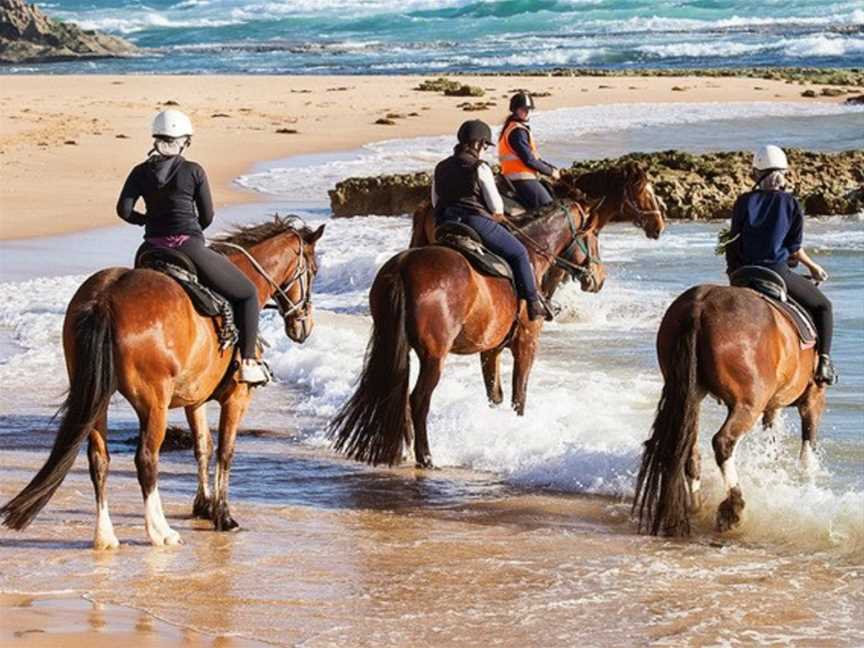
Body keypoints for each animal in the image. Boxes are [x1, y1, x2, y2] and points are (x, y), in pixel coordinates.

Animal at [0, 216, 324, 548]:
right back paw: (160, 530)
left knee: (99, 459)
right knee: (146, 459)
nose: (304, 326)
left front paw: (204, 506)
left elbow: (203, 446)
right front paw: (223, 515)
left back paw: (105, 535)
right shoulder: (236, 397)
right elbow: (225, 452)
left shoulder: (195, 399)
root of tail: (106, 297)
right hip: (153, 402)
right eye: (313, 271)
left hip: (96, 397)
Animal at [330, 200, 608, 468]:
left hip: (391, 341)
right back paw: (426, 457)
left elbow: (494, 396)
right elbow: (519, 397)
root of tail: (402, 267)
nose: (599, 279)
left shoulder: (490, 350)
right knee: (418, 399)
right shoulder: (526, 344)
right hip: (434, 356)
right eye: (594, 236)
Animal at [632, 284, 828, 536]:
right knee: (722, 441)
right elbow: (807, 446)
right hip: (748, 404)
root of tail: (699, 305)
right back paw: (733, 508)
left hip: (691, 394)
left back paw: (695, 505)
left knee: (688, 446)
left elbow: (772, 440)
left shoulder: (773, 406)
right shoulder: (813, 399)